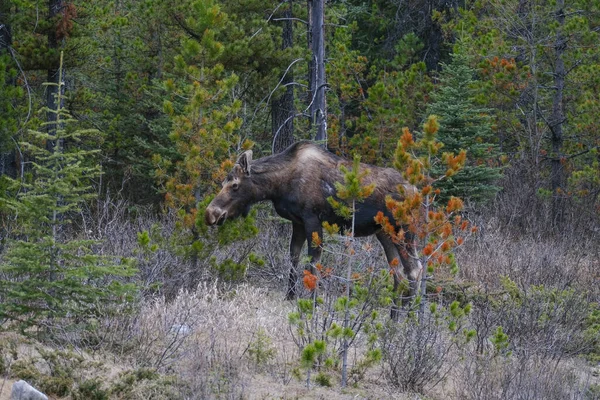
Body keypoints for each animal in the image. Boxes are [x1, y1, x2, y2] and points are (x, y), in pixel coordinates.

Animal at [205, 141, 422, 312]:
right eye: (223, 182)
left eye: (235, 185)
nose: (210, 214)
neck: (278, 186)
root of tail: (417, 192)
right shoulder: (298, 222)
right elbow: (294, 256)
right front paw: (290, 296)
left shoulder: (312, 219)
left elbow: (313, 262)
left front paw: (314, 301)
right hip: (384, 233)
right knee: (398, 273)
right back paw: (394, 314)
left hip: (404, 231)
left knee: (414, 269)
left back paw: (406, 317)